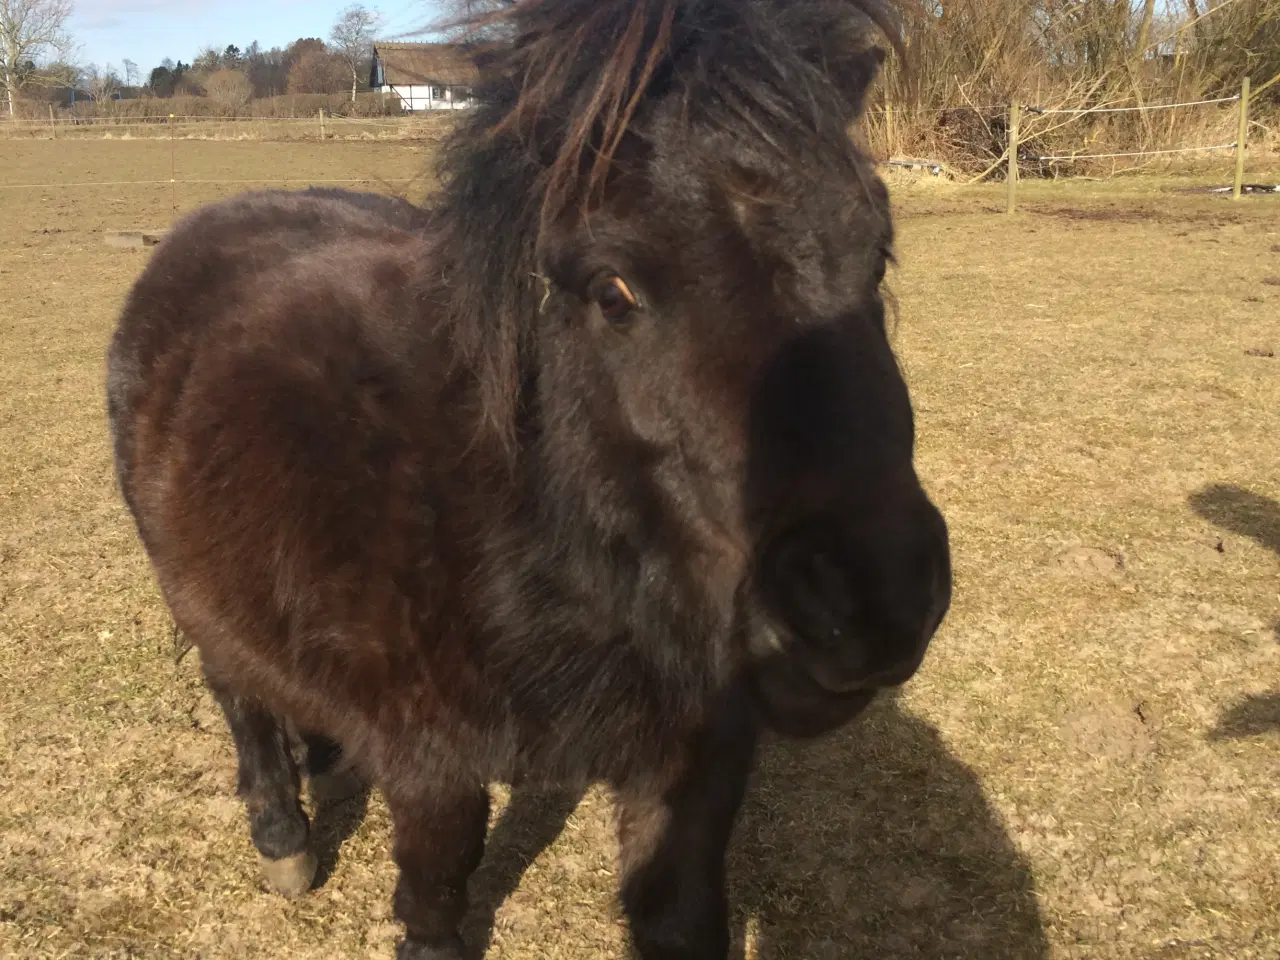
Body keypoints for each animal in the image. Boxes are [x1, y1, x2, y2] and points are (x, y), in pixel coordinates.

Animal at [107, 3, 952, 957]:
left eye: (876, 253)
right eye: (611, 292)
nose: (868, 604)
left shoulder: (693, 765)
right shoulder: (432, 767)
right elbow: (436, 900)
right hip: (192, 591)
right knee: (237, 691)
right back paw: (283, 837)